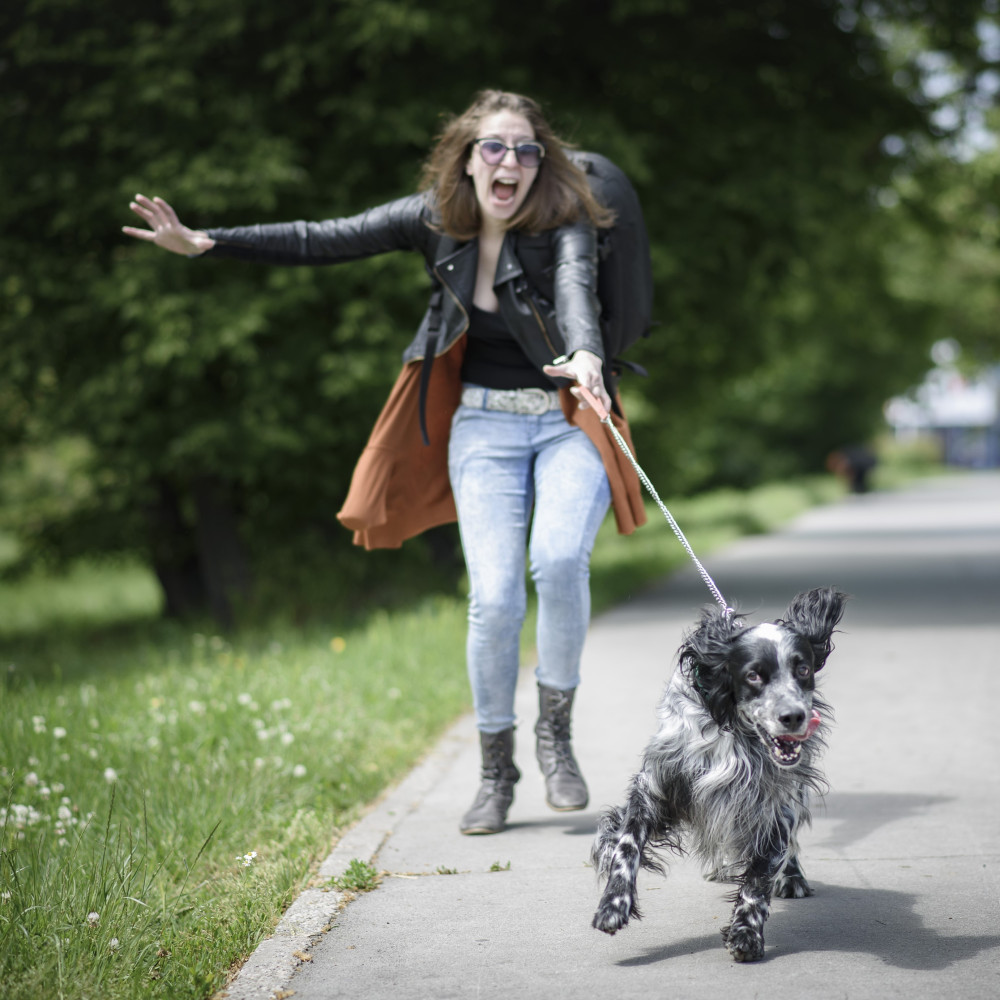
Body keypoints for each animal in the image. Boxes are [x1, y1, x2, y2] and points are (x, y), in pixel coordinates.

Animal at [588, 584, 848, 960]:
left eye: (802, 669)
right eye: (753, 675)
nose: (794, 717)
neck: (735, 731)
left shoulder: (773, 806)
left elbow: (758, 878)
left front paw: (747, 932)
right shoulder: (655, 786)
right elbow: (625, 845)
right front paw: (613, 905)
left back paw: (792, 877)